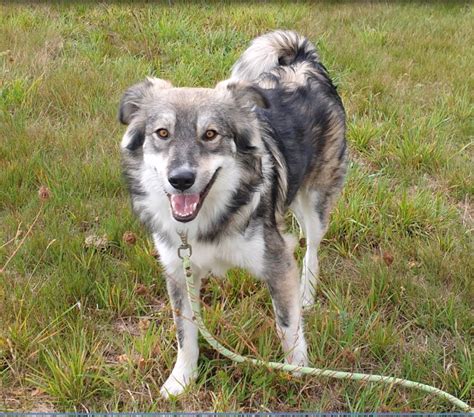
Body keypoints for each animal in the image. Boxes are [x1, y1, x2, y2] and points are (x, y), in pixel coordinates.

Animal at [118, 30, 348, 396]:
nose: (180, 180)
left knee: (311, 247)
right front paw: (181, 381)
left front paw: (298, 370)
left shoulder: (277, 262)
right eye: (162, 133)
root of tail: (303, 61)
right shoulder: (179, 271)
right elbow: (186, 334)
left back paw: (307, 295)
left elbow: (287, 324)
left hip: (315, 200)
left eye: (211, 134)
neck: (209, 219)